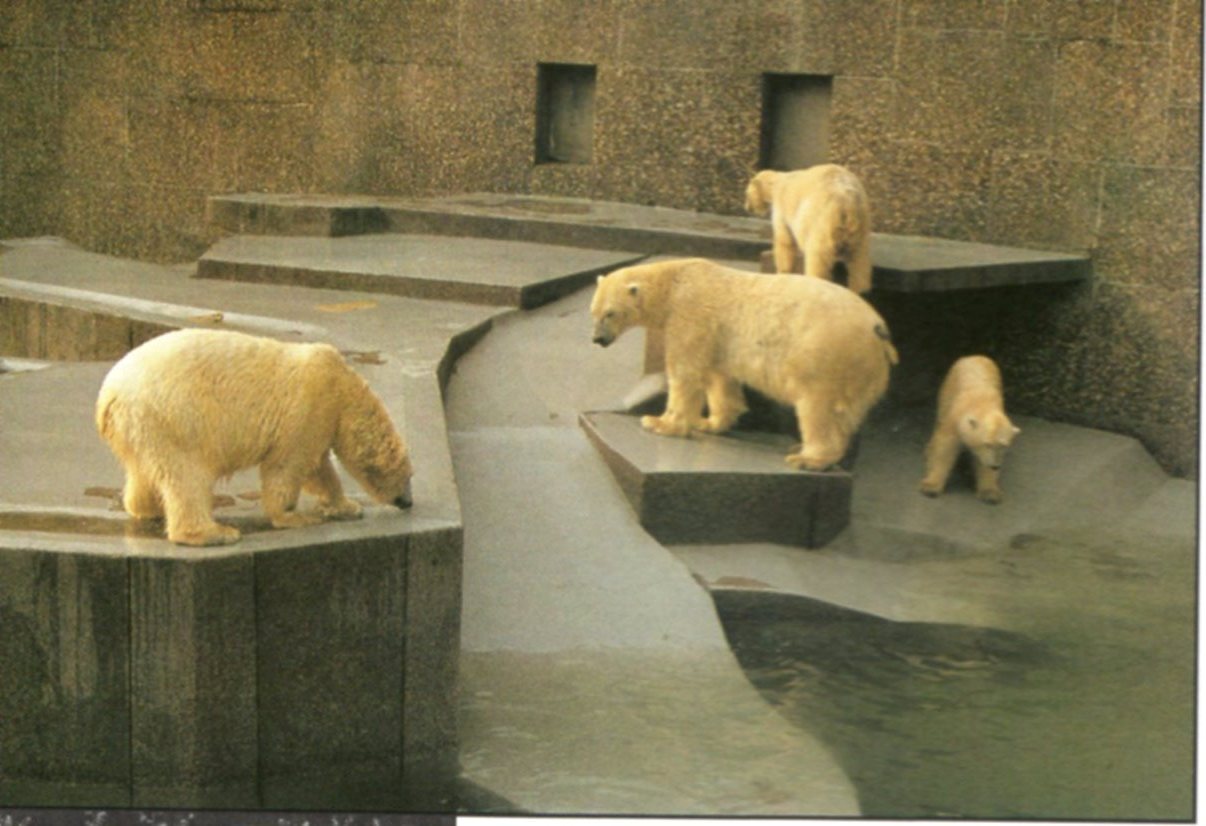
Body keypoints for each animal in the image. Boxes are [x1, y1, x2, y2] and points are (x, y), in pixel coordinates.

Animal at [95, 328, 413, 546]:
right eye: (408, 476)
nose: (408, 502)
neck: (343, 388)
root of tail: (109, 396)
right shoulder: (308, 410)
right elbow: (288, 466)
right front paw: (293, 516)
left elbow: (318, 468)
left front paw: (347, 506)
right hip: (174, 419)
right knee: (187, 476)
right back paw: (216, 533)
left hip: (140, 429)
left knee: (144, 471)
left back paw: (148, 509)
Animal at [590, 257, 898, 471]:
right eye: (593, 312)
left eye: (610, 313)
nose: (597, 339)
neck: (675, 282)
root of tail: (877, 327)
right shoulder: (718, 339)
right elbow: (719, 379)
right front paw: (709, 422)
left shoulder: (690, 316)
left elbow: (685, 373)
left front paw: (659, 422)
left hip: (823, 354)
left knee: (817, 406)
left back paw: (808, 458)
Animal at [744, 164, 873, 294]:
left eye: (747, 195)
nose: (747, 208)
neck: (777, 183)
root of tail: (846, 203)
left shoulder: (782, 207)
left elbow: (785, 240)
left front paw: (782, 272)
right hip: (861, 226)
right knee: (859, 264)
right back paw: (859, 290)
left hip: (822, 222)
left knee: (817, 259)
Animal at [919, 355, 1020, 504]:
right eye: (987, 444)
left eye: (1003, 445)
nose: (995, 466)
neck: (981, 403)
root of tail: (974, 356)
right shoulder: (955, 422)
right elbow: (944, 449)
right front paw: (930, 487)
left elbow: (983, 464)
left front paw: (990, 493)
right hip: (948, 388)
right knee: (940, 419)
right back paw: (929, 449)